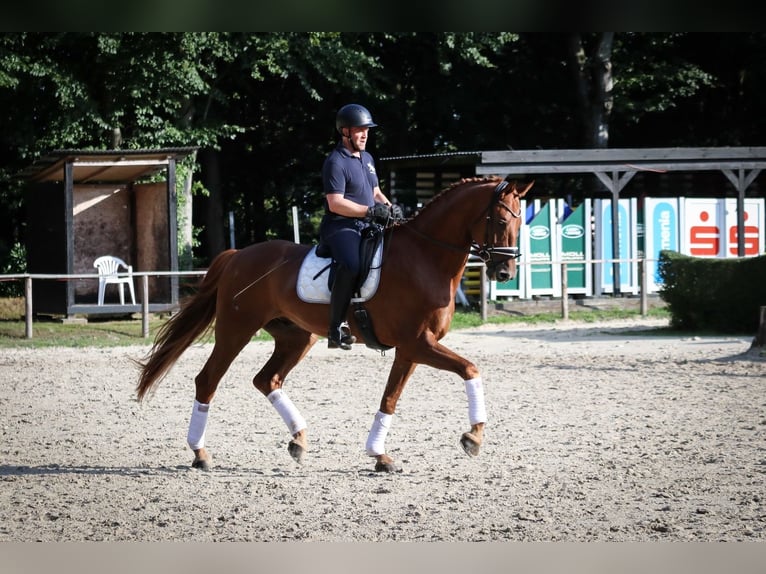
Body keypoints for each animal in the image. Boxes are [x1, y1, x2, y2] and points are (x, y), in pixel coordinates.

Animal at [136, 178, 536, 474]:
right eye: (502, 222)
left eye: (520, 223)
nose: (504, 272)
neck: (425, 258)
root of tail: (238, 256)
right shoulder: (417, 344)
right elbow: (470, 368)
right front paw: (474, 437)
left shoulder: (411, 349)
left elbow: (390, 398)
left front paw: (379, 456)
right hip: (236, 331)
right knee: (208, 380)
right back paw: (200, 454)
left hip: (297, 337)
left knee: (267, 380)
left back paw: (298, 440)